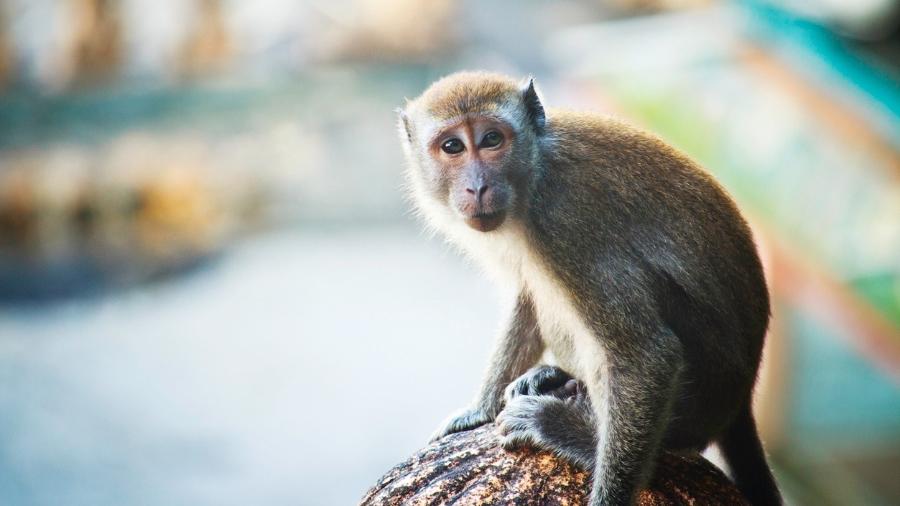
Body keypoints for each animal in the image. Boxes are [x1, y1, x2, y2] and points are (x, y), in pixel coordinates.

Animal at [398, 72, 784, 506]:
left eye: (492, 139)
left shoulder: (566, 225)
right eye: (452, 147)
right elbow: (527, 295)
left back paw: (570, 433)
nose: (477, 187)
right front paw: (479, 409)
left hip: (700, 395)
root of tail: (742, 398)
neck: (535, 174)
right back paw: (554, 378)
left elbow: (646, 356)